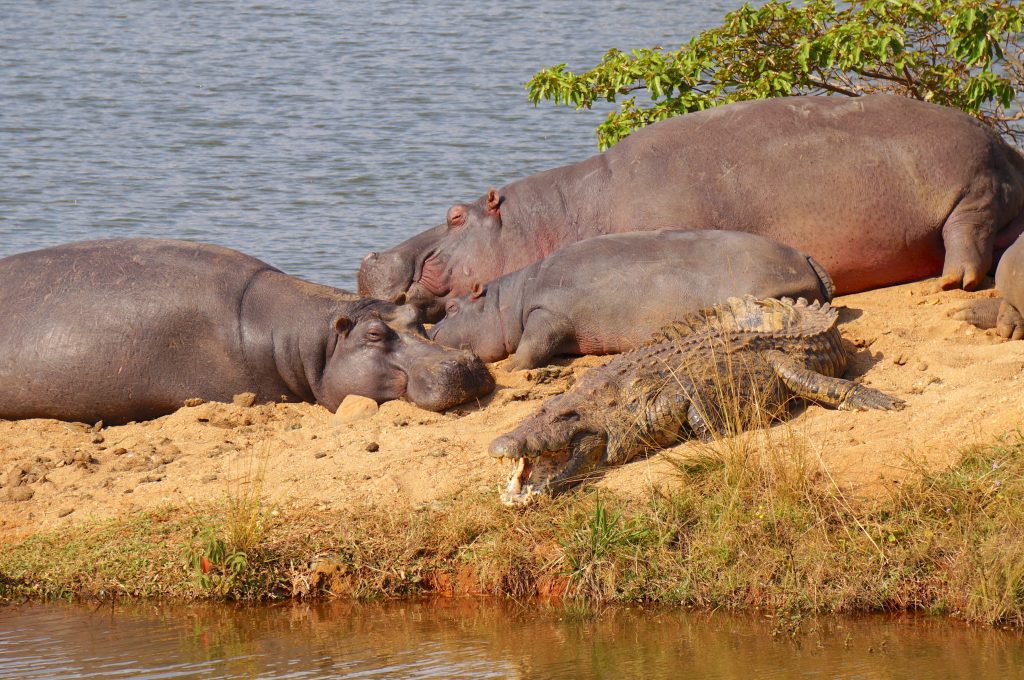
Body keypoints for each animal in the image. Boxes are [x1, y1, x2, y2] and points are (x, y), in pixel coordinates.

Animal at [358, 92, 1024, 321]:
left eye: (454, 215)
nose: (369, 255)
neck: (558, 213)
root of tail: (1008, 148)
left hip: (971, 181)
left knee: (968, 230)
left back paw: (951, 283)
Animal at [428, 231, 835, 368]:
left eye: (452, 307)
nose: (429, 332)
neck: (506, 300)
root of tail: (805, 256)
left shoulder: (548, 314)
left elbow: (532, 345)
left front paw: (512, 369)